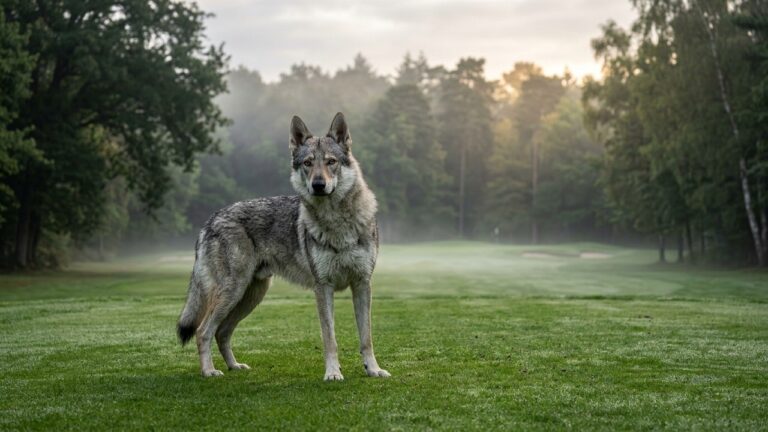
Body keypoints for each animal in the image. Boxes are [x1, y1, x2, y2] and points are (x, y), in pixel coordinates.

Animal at [177, 113, 390, 381]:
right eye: (308, 163)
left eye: (331, 162)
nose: (318, 185)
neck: (337, 222)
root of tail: (210, 220)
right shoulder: (323, 288)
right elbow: (329, 338)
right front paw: (332, 373)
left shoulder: (362, 284)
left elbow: (366, 338)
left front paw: (373, 369)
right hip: (233, 292)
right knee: (203, 331)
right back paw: (209, 371)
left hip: (250, 296)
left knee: (221, 332)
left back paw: (235, 366)